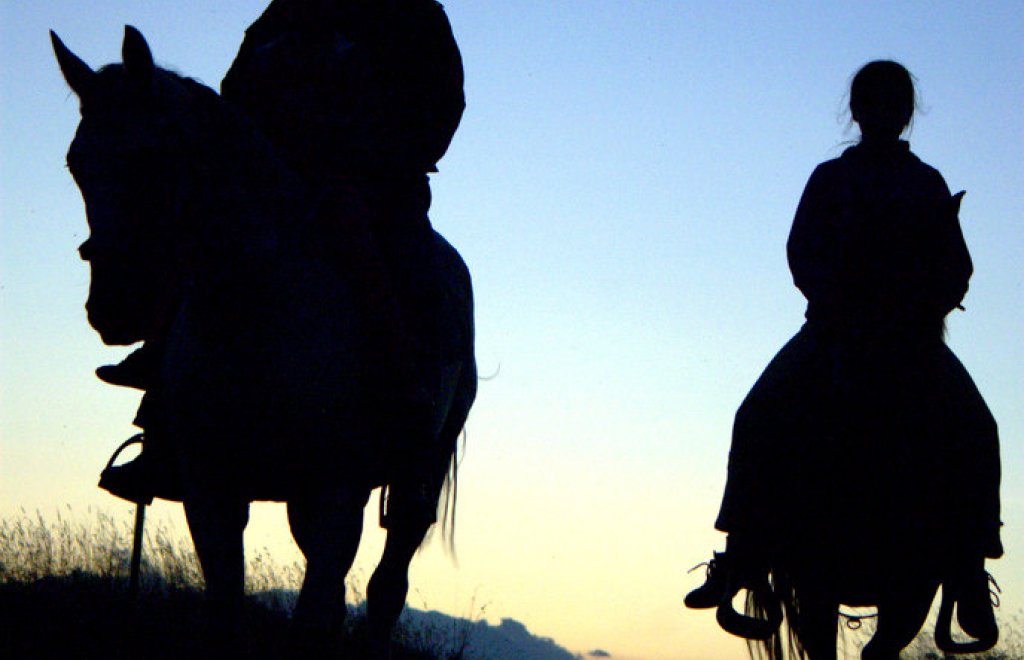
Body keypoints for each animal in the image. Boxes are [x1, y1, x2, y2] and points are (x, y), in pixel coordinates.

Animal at [52, 26, 477, 656]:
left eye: (153, 155)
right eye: (77, 163)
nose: (115, 306)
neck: (255, 315)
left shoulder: (337, 492)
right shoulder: (211, 492)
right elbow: (230, 606)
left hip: (411, 481)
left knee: (385, 587)